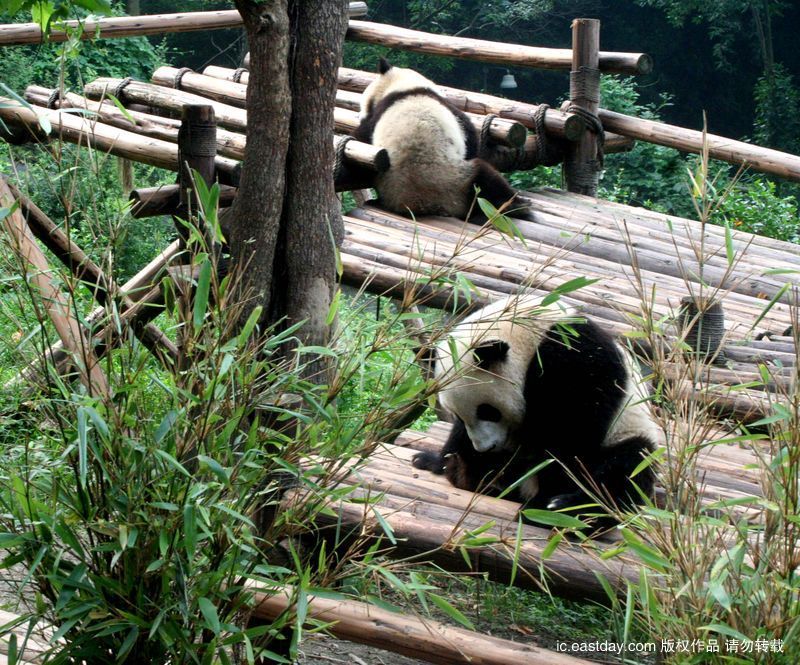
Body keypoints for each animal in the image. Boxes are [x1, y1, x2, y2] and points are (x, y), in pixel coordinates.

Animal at [354, 57, 528, 223]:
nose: (360, 115)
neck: (405, 87)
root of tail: (421, 205)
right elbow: (470, 138)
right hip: (456, 181)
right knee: (485, 176)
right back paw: (516, 206)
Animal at [412, 296, 656, 536]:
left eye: (487, 411)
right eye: (459, 416)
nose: (485, 448)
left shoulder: (575, 360)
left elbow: (569, 435)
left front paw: (543, 504)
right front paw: (434, 460)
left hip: (627, 434)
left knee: (628, 467)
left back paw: (567, 509)